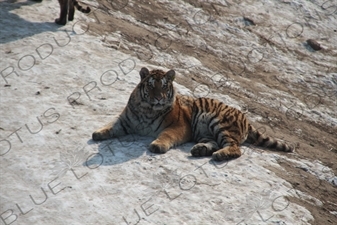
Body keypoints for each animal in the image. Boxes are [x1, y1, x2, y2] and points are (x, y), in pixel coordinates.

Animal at [91, 67, 292, 161]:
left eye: (164, 86)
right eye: (151, 86)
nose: (159, 99)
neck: (147, 109)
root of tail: (246, 118)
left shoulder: (179, 126)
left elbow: (166, 135)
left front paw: (157, 145)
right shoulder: (126, 120)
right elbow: (111, 126)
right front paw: (97, 133)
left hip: (220, 123)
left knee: (236, 148)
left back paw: (219, 155)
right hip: (205, 132)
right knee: (214, 143)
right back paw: (199, 150)